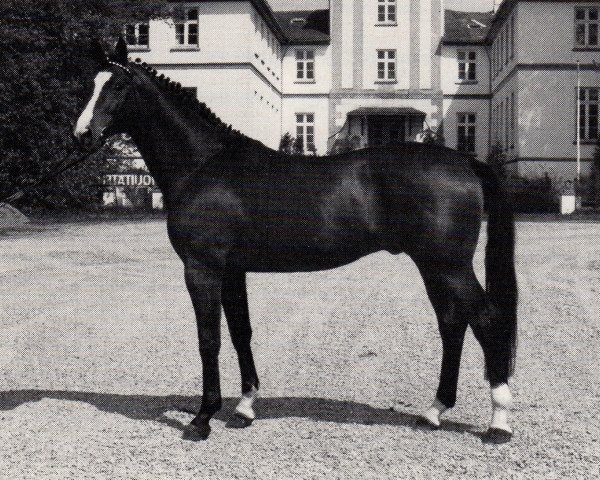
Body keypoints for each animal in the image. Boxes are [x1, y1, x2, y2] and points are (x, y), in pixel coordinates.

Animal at [74, 39, 516, 444]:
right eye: (91, 82)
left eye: (117, 85)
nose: (81, 135)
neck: (203, 165)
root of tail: (466, 162)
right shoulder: (233, 270)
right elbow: (241, 332)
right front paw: (245, 407)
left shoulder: (202, 269)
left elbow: (208, 339)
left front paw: (202, 418)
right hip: (433, 266)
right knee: (452, 323)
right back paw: (434, 411)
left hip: (448, 266)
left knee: (485, 320)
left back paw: (499, 423)